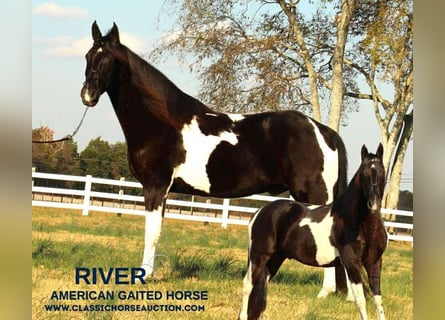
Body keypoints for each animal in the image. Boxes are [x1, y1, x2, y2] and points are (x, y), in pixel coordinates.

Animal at [81, 20, 348, 296]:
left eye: (109, 59)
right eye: (88, 56)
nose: (87, 95)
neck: (162, 124)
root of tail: (323, 132)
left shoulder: (155, 187)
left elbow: (151, 233)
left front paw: (143, 276)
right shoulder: (162, 191)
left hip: (315, 196)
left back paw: (325, 292)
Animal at [238, 144, 386, 320]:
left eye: (382, 172)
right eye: (363, 174)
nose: (374, 204)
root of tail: (260, 212)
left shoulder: (374, 263)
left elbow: (378, 301)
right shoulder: (352, 263)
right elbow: (361, 301)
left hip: (275, 259)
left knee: (262, 286)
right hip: (259, 257)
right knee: (248, 285)